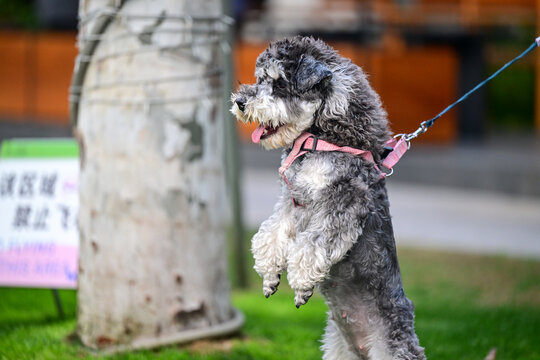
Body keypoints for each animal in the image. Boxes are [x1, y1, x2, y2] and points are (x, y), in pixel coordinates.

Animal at [230, 37, 424, 360]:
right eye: (260, 79)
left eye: (279, 83)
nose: (240, 102)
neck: (324, 139)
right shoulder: (292, 200)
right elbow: (269, 235)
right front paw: (270, 278)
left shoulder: (343, 204)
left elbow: (311, 245)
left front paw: (300, 286)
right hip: (338, 349)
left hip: (394, 347)